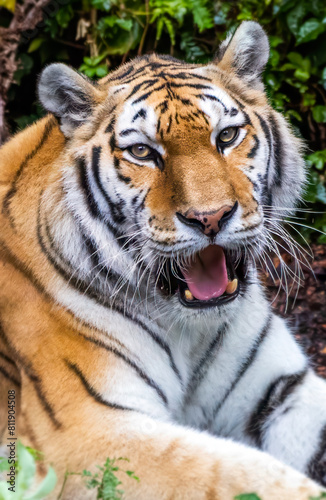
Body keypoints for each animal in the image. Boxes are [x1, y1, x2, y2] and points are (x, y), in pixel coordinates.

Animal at [0, 18, 326, 496]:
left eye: (226, 136)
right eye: (142, 152)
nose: (210, 218)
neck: (189, 330)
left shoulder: (283, 388)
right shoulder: (87, 430)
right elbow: (240, 475)